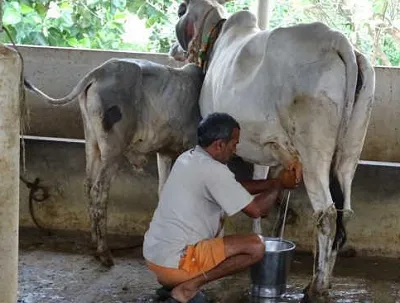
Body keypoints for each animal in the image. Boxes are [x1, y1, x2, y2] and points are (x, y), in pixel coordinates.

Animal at [171, 1, 376, 302]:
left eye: (180, 11)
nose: (174, 49)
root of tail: (337, 40)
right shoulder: (264, 151)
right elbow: (259, 191)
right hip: (351, 149)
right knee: (343, 211)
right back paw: (323, 281)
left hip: (313, 149)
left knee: (327, 214)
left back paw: (317, 287)